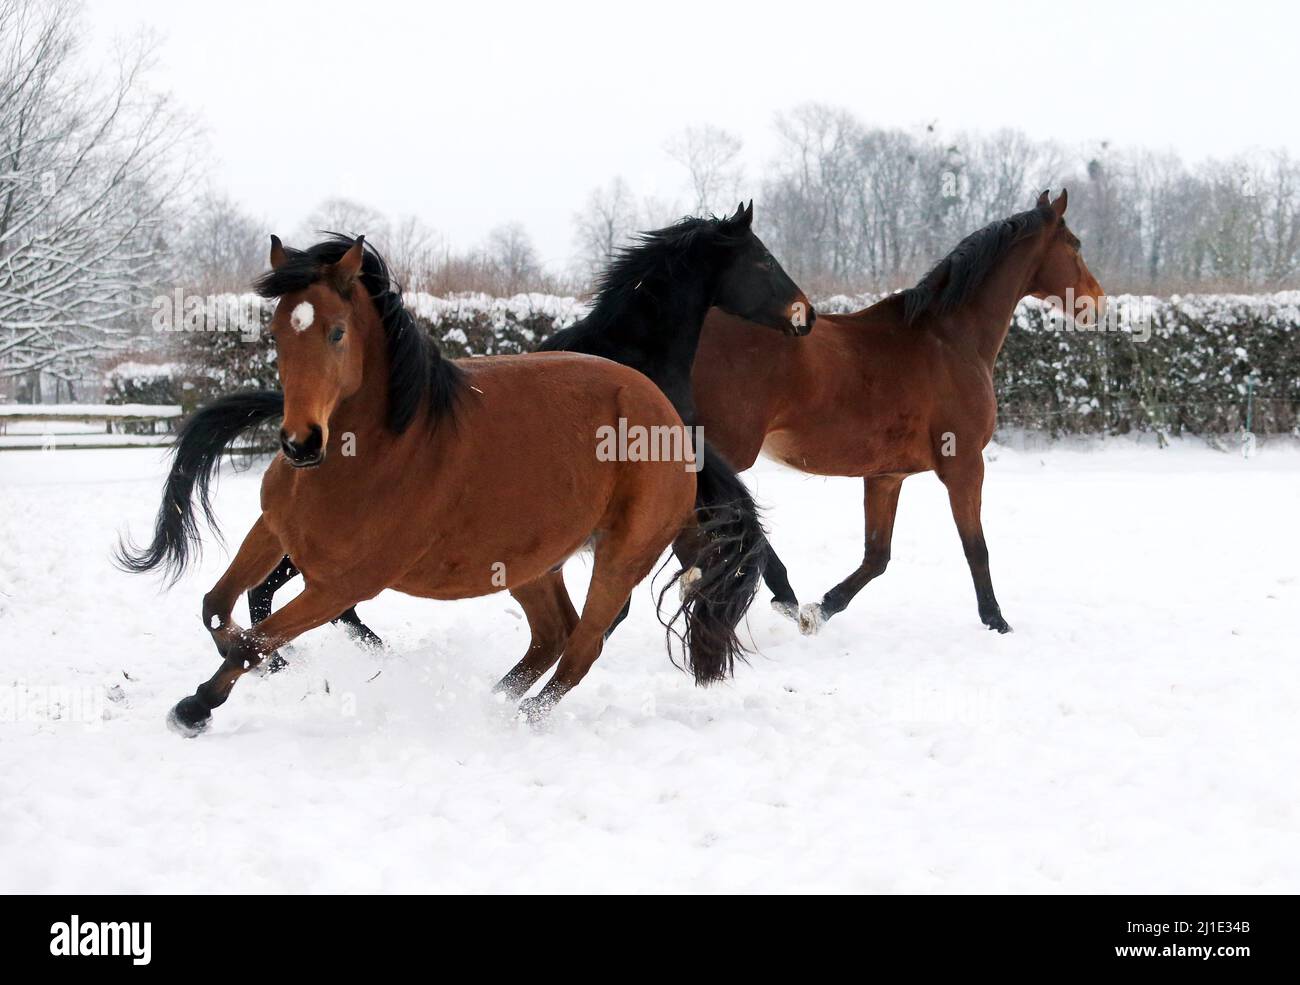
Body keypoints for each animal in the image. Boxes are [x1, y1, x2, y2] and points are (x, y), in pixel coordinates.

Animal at [117, 236, 777, 735]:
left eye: (336, 332)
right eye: (276, 332)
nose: (300, 443)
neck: (376, 454)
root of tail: (669, 419)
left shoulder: (345, 581)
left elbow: (252, 641)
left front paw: (195, 707)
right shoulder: (276, 531)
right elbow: (217, 609)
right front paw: (255, 666)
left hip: (621, 553)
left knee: (582, 647)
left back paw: (514, 721)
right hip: (530, 561)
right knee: (553, 636)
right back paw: (490, 702)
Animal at [691, 190, 1105, 634]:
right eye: (1075, 245)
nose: (1098, 303)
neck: (952, 339)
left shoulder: (886, 477)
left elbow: (877, 556)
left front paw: (822, 608)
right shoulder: (964, 465)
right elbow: (976, 547)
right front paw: (996, 620)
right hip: (728, 450)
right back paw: (773, 591)